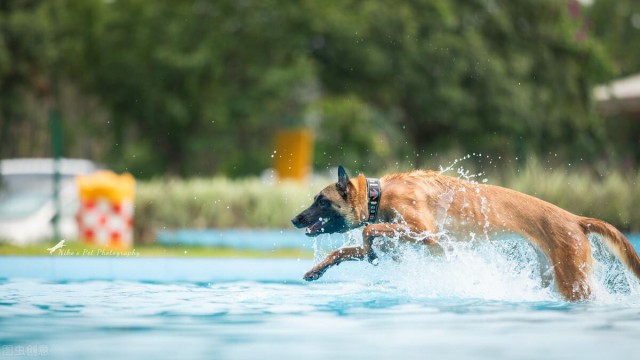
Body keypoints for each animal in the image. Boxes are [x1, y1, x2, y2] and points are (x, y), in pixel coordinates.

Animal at [292, 165, 640, 300]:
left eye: (322, 201)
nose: (295, 219)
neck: (379, 194)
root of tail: (576, 218)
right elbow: (344, 250)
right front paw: (317, 270)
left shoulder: (425, 232)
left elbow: (371, 231)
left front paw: (371, 244)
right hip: (552, 274)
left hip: (573, 281)